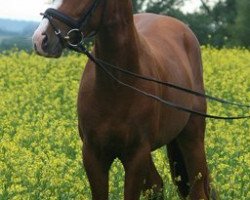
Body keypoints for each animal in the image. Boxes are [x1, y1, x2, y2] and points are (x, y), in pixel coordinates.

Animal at [32, 0, 213, 200]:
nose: (40, 40)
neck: (116, 86)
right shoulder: (93, 156)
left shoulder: (136, 156)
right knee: (156, 185)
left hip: (192, 137)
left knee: (198, 189)